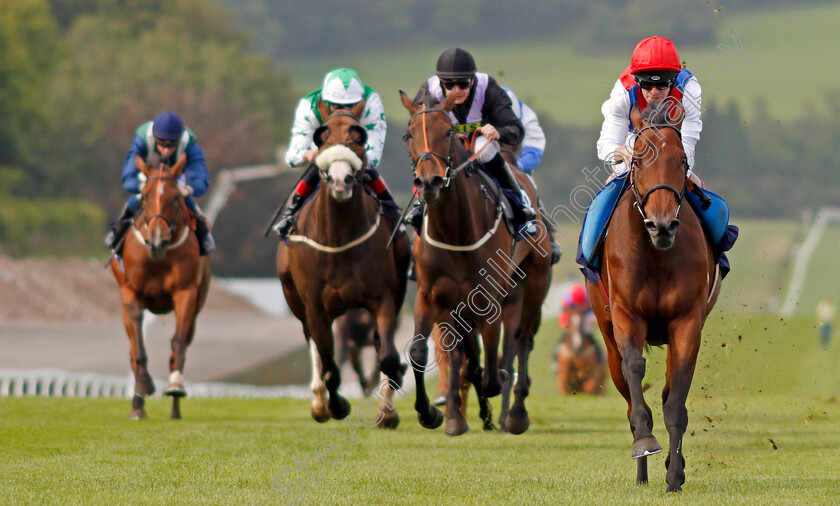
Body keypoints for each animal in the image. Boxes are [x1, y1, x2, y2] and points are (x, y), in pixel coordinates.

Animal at [109, 152, 210, 422]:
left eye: (175, 197)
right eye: (144, 196)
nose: (156, 241)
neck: (158, 258)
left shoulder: (186, 293)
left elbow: (178, 343)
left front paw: (175, 387)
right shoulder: (130, 292)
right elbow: (138, 350)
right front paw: (143, 386)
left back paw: (175, 409)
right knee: (132, 350)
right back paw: (137, 405)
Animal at [276, 102, 410, 426]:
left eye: (359, 136)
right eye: (321, 137)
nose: (341, 179)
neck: (339, 241)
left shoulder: (383, 298)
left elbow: (387, 356)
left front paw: (387, 411)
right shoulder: (315, 308)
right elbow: (329, 366)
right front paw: (335, 405)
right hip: (297, 302)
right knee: (314, 346)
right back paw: (319, 404)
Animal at [398, 91, 552, 434]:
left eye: (447, 132)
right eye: (408, 135)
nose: (428, 182)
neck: (455, 230)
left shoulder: (489, 295)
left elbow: (494, 361)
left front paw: (493, 388)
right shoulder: (431, 294)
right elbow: (420, 350)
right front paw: (431, 413)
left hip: (535, 280)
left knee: (522, 339)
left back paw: (515, 413)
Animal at [588, 103, 724, 490]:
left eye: (682, 161)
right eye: (636, 161)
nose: (661, 225)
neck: (657, 255)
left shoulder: (687, 322)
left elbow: (675, 399)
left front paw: (675, 475)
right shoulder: (626, 316)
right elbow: (635, 371)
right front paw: (645, 443)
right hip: (607, 338)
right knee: (627, 390)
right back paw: (641, 469)